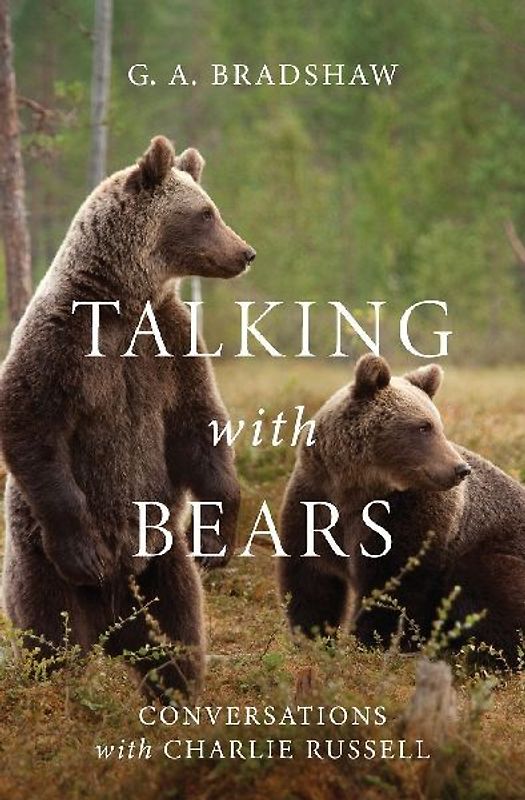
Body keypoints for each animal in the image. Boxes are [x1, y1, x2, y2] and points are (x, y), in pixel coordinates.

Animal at [0, 135, 255, 700]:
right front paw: (84, 549)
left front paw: (216, 536)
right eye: (206, 213)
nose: (246, 253)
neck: (124, 301)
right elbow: (29, 418)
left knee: (180, 632)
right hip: (38, 560)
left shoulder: (171, 345)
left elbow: (198, 424)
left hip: (161, 563)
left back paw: (176, 693)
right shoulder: (63, 339)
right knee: (52, 635)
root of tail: (112, 623)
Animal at [278, 354, 525, 667]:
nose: (460, 469)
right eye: (423, 426)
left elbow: (395, 584)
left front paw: (370, 644)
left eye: (437, 425)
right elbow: (311, 578)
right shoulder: (315, 500)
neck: (356, 488)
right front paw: (315, 639)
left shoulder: (409, 515)